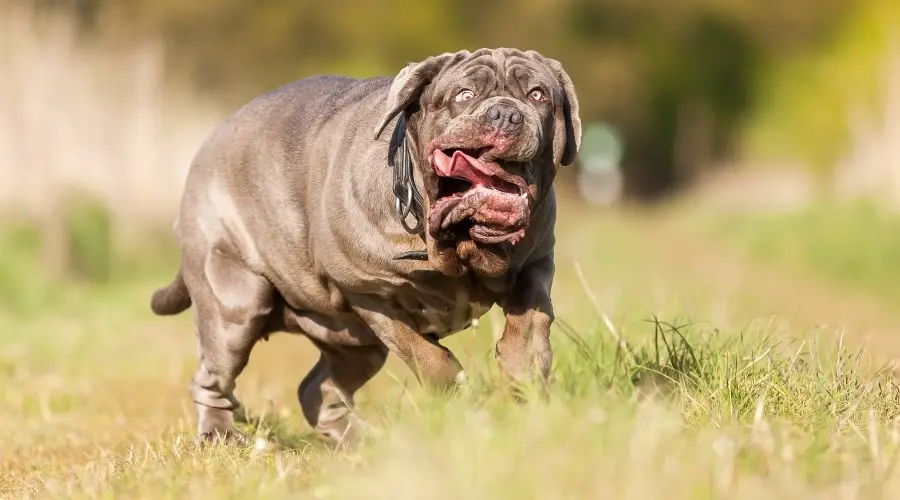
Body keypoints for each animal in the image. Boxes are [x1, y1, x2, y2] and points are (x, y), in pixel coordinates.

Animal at [149, 47, 584, 444]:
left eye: (538, 95)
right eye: (463, 95)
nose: (506, 115)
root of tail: (209, 143)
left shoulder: (536, 264)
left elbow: (529, 324)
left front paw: (524, 379)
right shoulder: (369, 293)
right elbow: (427, 356)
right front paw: (460, 398)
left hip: (353, 343)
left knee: (318, 390)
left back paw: (361, 441)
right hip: (235, 304)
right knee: (212, 378)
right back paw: (219, 434)